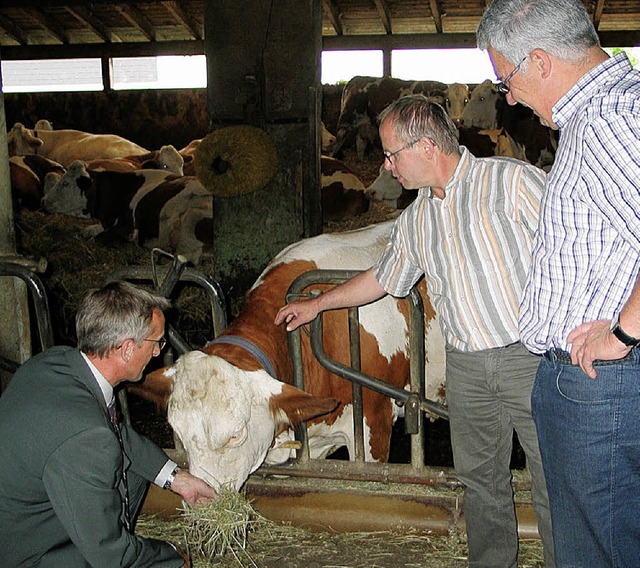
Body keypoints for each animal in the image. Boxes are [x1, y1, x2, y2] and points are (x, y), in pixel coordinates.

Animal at [42, 160, 212, 264]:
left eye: (65, 183)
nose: (43, 200)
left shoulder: (127, 228)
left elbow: (96, 238)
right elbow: (87, 231)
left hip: (192, 217)